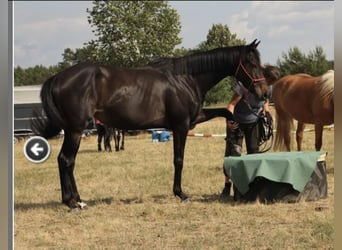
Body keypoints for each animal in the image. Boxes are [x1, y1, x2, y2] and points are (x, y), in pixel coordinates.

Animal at [32, 39, 268, 209]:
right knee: (66, 160)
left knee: (66, 161)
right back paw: (73, 202)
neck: (185, 78)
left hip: (73, 130)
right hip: (75, 130)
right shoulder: (181, 126)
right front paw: (181, 194)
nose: (264, 93)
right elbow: (178, 160)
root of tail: (57, 78)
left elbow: (227, 113)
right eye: (251, 63)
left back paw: (76, 199)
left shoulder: (194, 118)